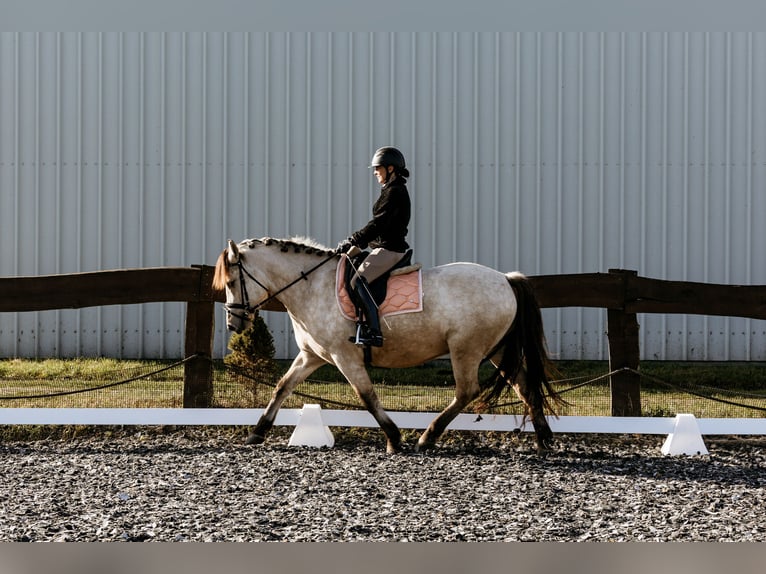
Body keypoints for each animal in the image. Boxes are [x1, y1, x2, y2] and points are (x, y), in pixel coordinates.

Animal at [212, 237, 564, 454]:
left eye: (231, 282)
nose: (234, 324)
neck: (311, 286)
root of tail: (505, 278)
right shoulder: (312, 356)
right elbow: (282, 387)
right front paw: (257, 432)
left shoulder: (344, 356)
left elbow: (366, 396)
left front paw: (394, 439)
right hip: (496, 350)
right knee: (523, 386)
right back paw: (544, 441)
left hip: (466, 349)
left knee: (467, 391)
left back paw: (427, 437)